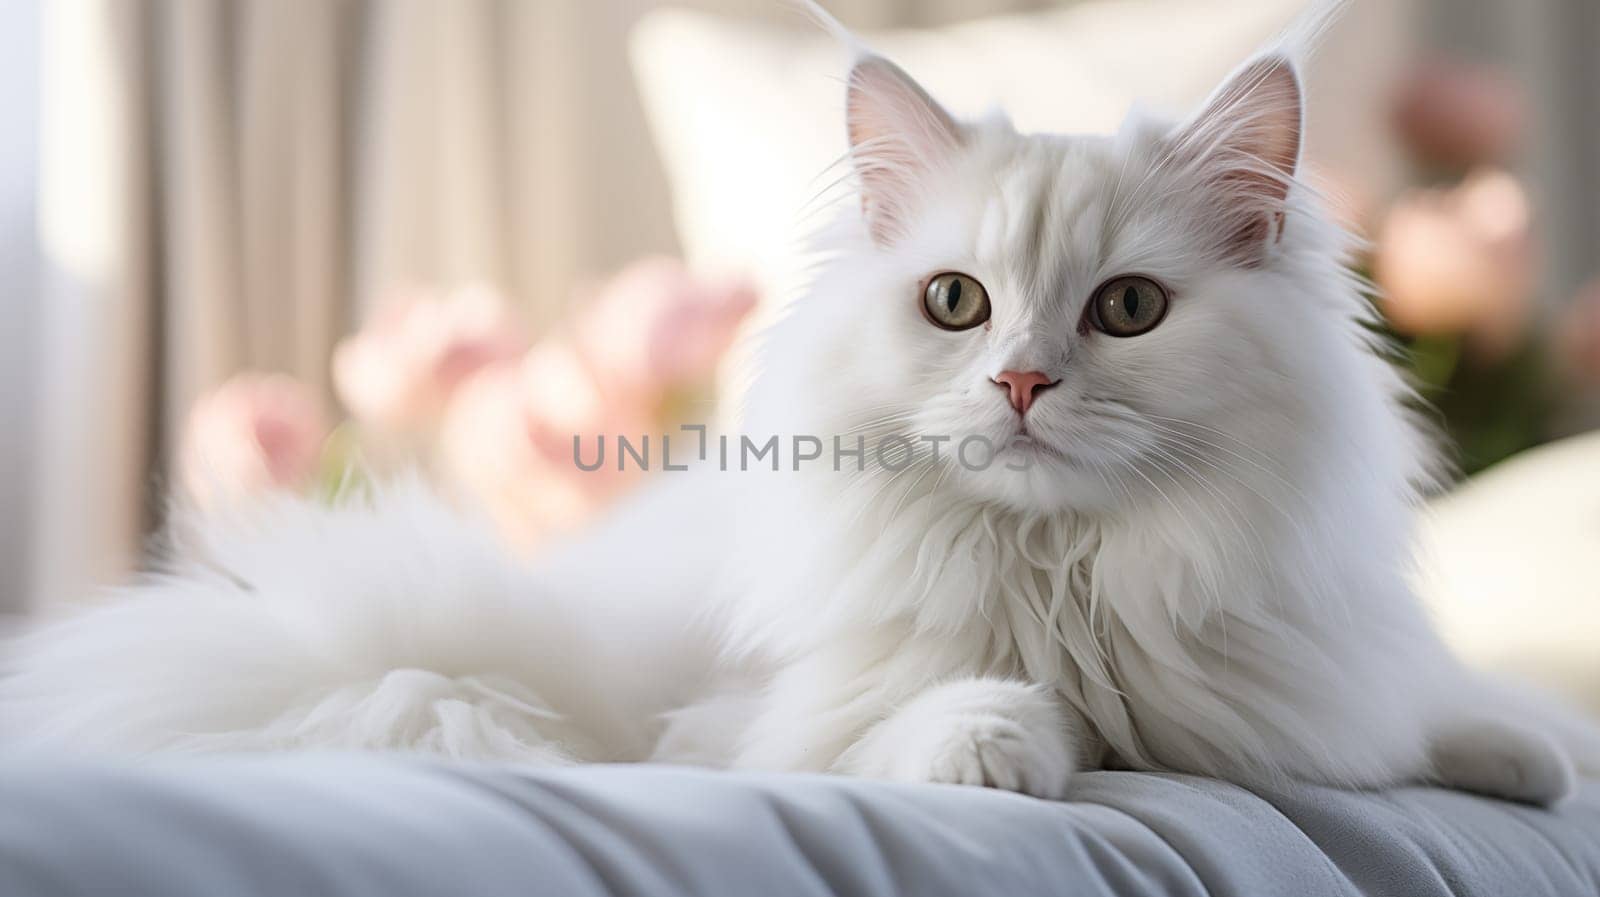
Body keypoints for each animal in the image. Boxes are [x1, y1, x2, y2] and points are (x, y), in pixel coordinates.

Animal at [3, 12, 1600, 805]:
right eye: (956, 303)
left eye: (1128, 311)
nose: (1021, 381)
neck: (1069, 578)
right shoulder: (738, 730)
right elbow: (946, 727)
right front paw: (1006, 738)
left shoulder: (1307, 671)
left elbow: (1408, 717)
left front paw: (1522, 758)